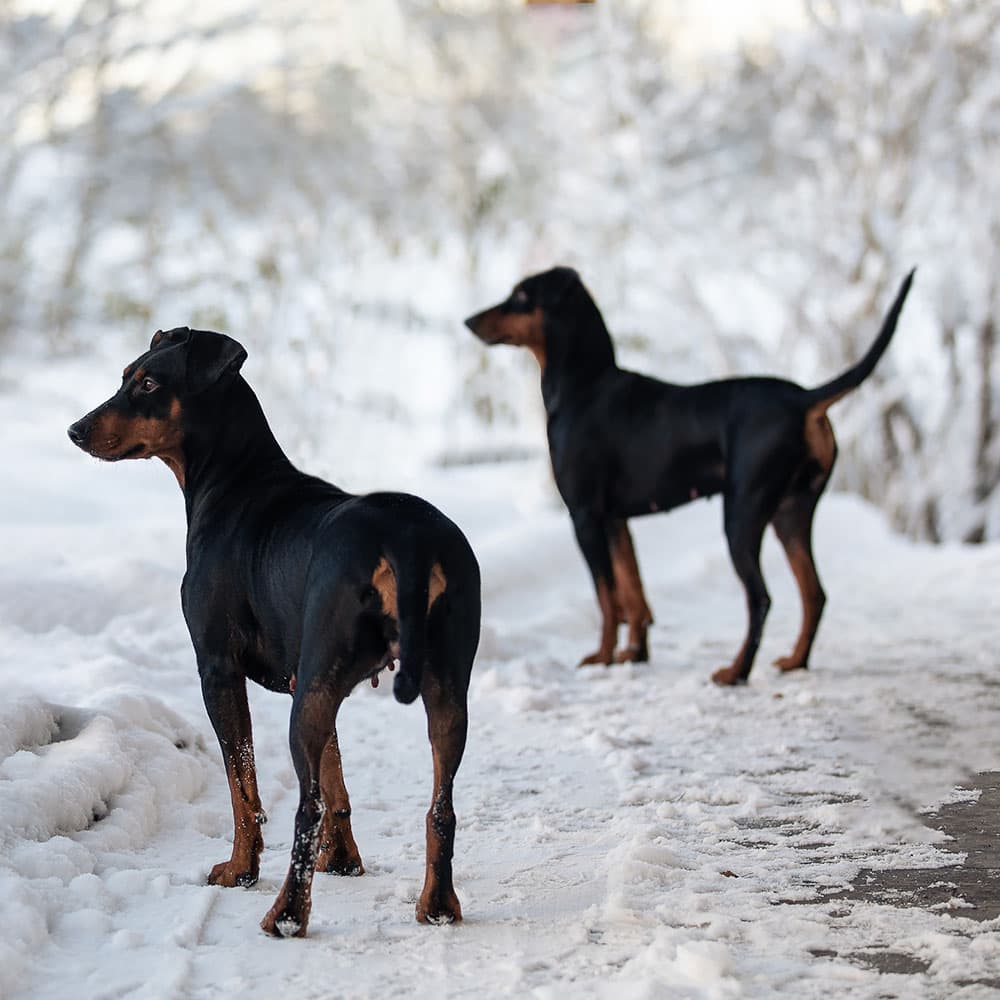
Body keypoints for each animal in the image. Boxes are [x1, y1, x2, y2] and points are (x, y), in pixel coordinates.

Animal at [67, 328, 480, 936]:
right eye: (125, 375)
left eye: (148, 383)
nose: (76, 430)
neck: (232, 480)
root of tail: (405, 541)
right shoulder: (303, 678)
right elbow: (335, 777)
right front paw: (344, 861)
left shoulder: (218, 668)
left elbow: (243, 785)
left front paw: (240, 869)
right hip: (435, 687)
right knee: (440, 808)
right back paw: (438, 906)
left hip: (313, 689)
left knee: (304, 808)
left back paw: (285, 915)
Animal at [464, 266, 912, 688]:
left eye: (522, 295)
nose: (469, 320)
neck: (584, 386)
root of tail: (804, 398)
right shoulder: (615, 519)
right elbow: (633, 591)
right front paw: (634, 654)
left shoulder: (585, 516)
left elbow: (607, 597)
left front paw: (602, 657)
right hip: (791, 513)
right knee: (814, 594)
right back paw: (795, 661)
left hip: (742, 515)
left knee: (761, 598)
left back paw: (736, 672)